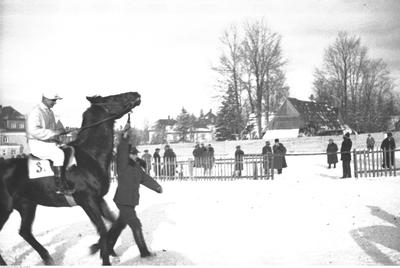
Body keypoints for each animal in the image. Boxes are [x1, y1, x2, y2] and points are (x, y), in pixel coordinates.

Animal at [0, 91, 141, 264]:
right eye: (113, 97)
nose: (135, 94)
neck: (90, 156)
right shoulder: (87, 201)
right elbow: (102, 229)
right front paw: (102, 255)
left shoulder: (98, 199)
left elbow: (116, 224)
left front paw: (104, 249)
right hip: (5, 207)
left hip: (27, 204)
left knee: (25, 232)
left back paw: (48, 258)